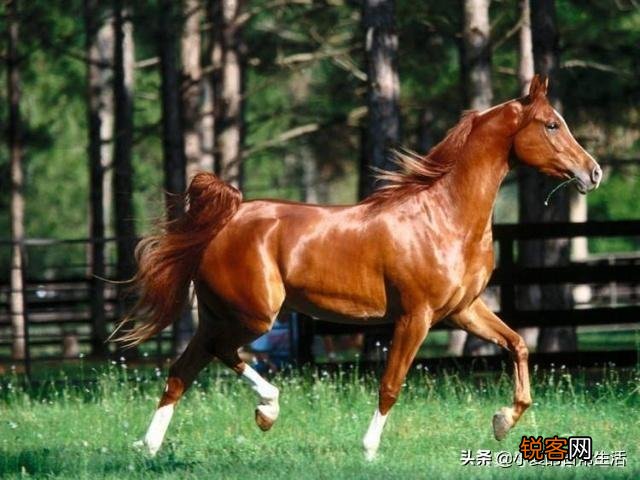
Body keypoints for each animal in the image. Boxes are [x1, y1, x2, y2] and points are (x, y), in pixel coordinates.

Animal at [117, 75, 602, 460]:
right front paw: (369, 449)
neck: (444, 217)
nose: (594, 172)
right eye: (552, 123)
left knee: (182, 370)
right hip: (254, 315)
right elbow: (391, 383)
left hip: (220, 314)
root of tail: (227, 219)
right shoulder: (415, 317)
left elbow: (518, 345)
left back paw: (149, 446)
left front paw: (501, 421)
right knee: (218, 354)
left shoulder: (463, 310)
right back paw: (267, 409)